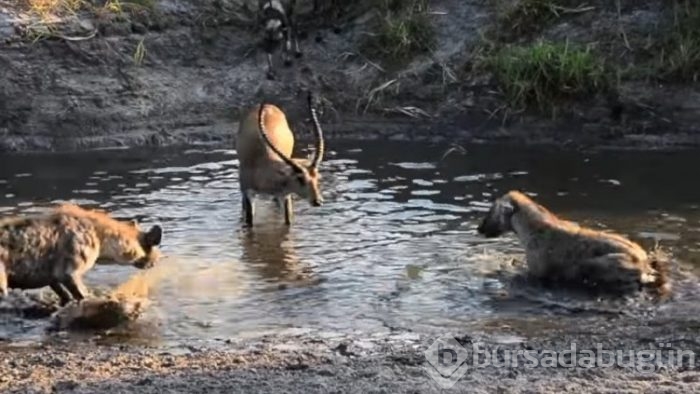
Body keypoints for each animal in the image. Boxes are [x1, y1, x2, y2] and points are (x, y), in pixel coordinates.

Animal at [234, 92, 324, 226]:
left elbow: (288, 221)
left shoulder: (285, 195)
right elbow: (249, 222)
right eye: (300, 178)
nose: (318, 201)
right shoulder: (249, 192)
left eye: (316, 177)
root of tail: (268, 106)